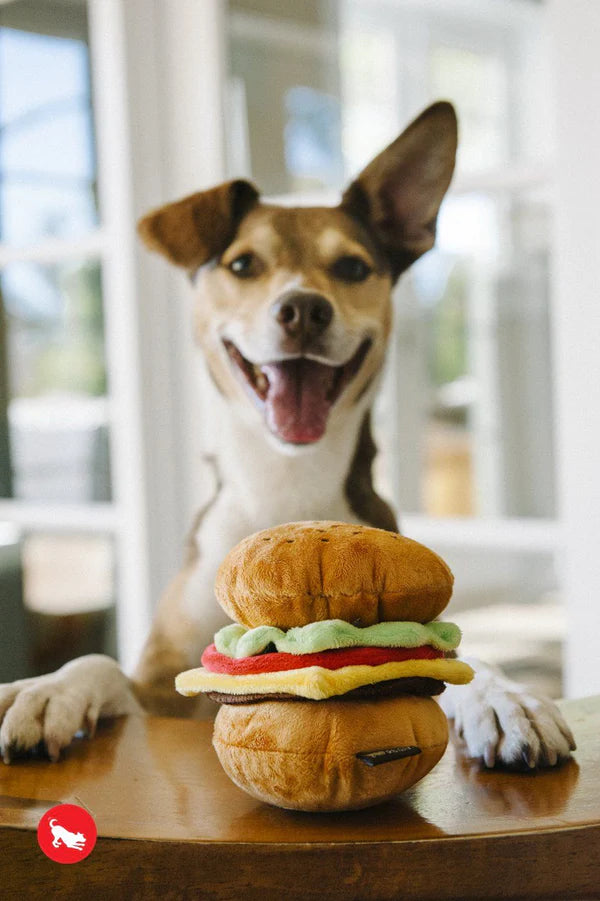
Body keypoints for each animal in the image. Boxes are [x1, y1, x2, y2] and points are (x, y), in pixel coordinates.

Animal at [0, 103, 576, 768]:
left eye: (352, 267)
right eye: (243, 264)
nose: (303, 309)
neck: (285, 479)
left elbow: (458, 657)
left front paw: (505, 697)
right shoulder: (164, 685)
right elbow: (101, 661)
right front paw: (47, 690)